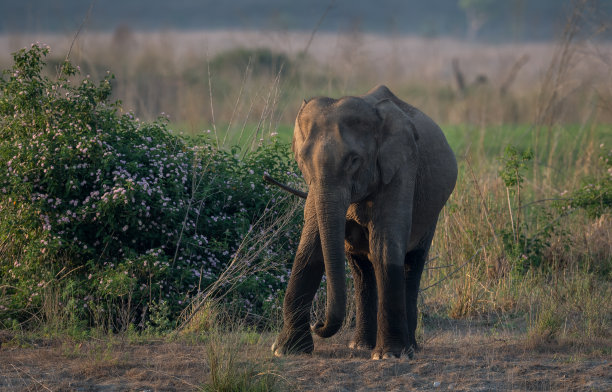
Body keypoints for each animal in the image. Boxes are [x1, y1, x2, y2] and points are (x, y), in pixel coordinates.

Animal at [270, 84, 456, 360]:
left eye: (354, 160)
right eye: (302, 160)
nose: (317, 324)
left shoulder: (401, 167)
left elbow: (385, 245)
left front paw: (390, 356)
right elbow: (310, 246)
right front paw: (286, 350)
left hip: (432, 213)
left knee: (413, 263)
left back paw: (409, 348)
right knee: (361, 269)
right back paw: (360, 346)